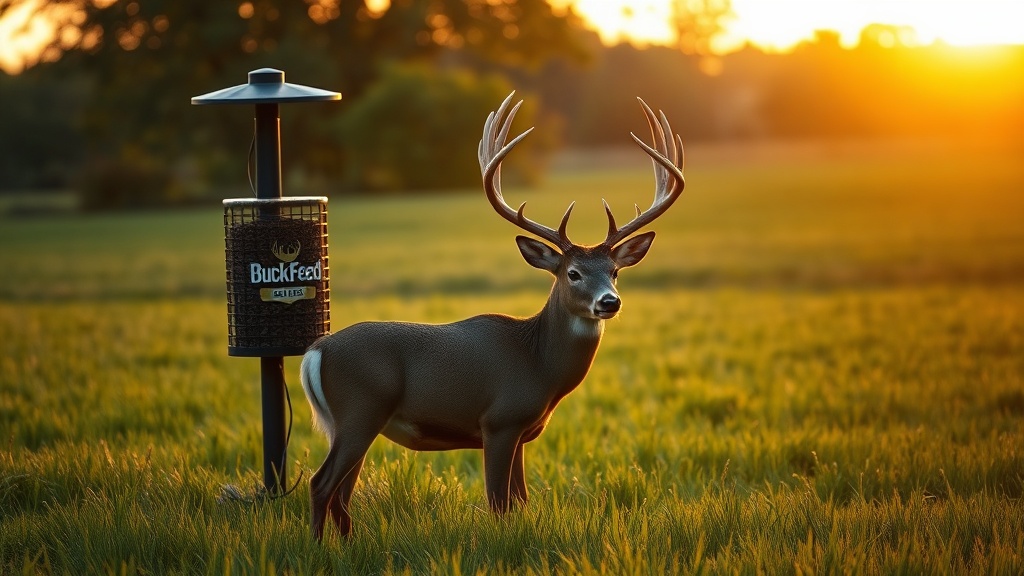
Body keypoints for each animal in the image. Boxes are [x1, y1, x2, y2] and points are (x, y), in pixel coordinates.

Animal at [300, 93, 685, 541]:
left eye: (615, 272)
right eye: (572, 273)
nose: (609, 302)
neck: (539, 364)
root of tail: (317, 350)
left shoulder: (521, 432)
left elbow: (520, 500)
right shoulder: (499, 421)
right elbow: (499, 502)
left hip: (354, 422)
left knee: (341, 493)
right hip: (360, 410)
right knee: (321, 483)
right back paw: (318, 546)